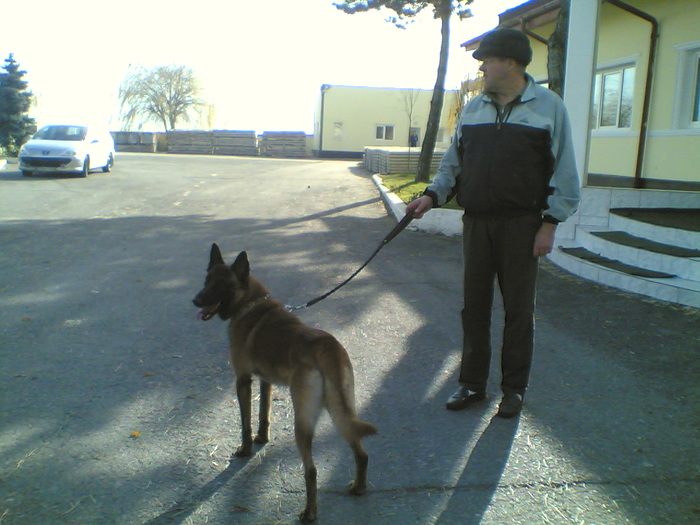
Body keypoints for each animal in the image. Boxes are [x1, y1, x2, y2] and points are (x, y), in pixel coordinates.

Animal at [191, 244, 378, 520]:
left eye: (221, 285)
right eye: (207, 281)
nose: (195, 300)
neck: (250, 304)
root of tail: (326, 345)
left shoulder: (243, 381)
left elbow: (245, 423)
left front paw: (246, 449)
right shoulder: (265, 381)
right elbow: (263, 415)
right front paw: (262, 438)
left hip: (304, 422)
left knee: (311, 471)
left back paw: (309, 514)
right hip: (341, 412)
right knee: (361, 452)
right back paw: (359, 487)